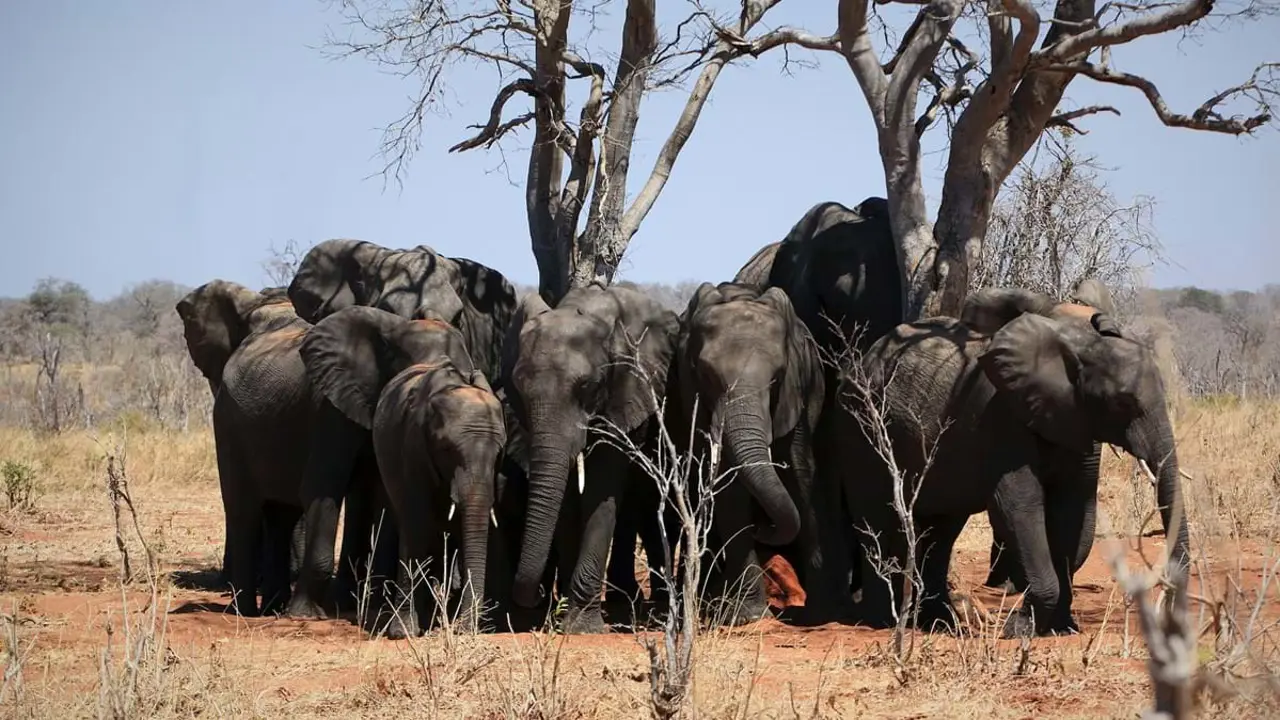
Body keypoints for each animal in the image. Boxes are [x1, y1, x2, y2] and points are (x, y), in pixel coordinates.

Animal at [501, 282, 679, 633]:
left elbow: (600, 487)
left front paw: (581, 626)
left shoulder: (626, 390)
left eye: (589, 385)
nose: (536, 595)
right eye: (519, 388)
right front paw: (568, 618)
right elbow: (568, 498)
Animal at [670, 282, 842, 625]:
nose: (764, 527)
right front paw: (748, 616)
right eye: (706, 374)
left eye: (776, 377)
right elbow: (730, 487)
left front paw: (820, 613)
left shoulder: (796, 393)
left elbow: (800, 471)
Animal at [833, 299, 1189, 638]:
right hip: (860, 426)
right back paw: (884, 621)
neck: (1073, 343)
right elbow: (1020, 507)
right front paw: (1019, 629)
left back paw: (939, 624)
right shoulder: (999, 415)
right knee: (878, 518)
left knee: (942, 530)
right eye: (1123, 402)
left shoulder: (1072, 418)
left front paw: (1060, 628)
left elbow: (1072, 509)